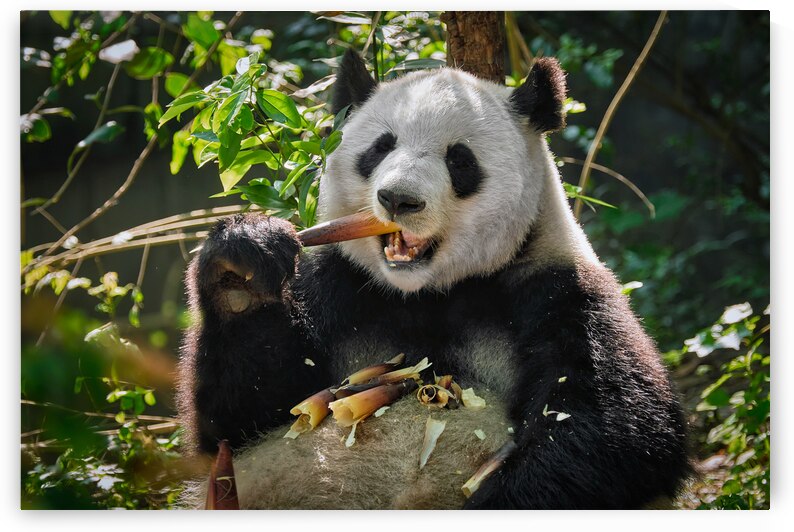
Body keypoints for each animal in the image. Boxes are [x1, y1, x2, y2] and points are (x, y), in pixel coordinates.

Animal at [176, 49, 691, 509]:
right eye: (380, 147)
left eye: (459, 159)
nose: (398, 199)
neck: (426, 292)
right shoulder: (335, 286)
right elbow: (242, 420)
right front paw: (242, 268)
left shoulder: (557, 291)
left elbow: (614, 428)